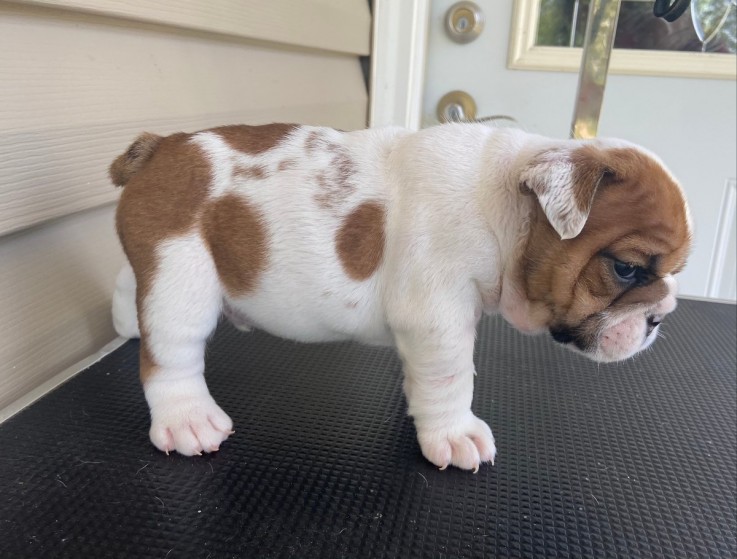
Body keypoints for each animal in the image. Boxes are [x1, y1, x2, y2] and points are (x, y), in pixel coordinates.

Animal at [108, 123, 688, 472]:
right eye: (626, 269)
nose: (661, 317)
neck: (503, 201)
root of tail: (160, 147)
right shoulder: (438, 317)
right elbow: (452, 379)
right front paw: (453, 434)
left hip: (156, 267)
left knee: (129, 288)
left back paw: (125, 321)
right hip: (181, 277)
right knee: (170, 356)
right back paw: (187, 419)